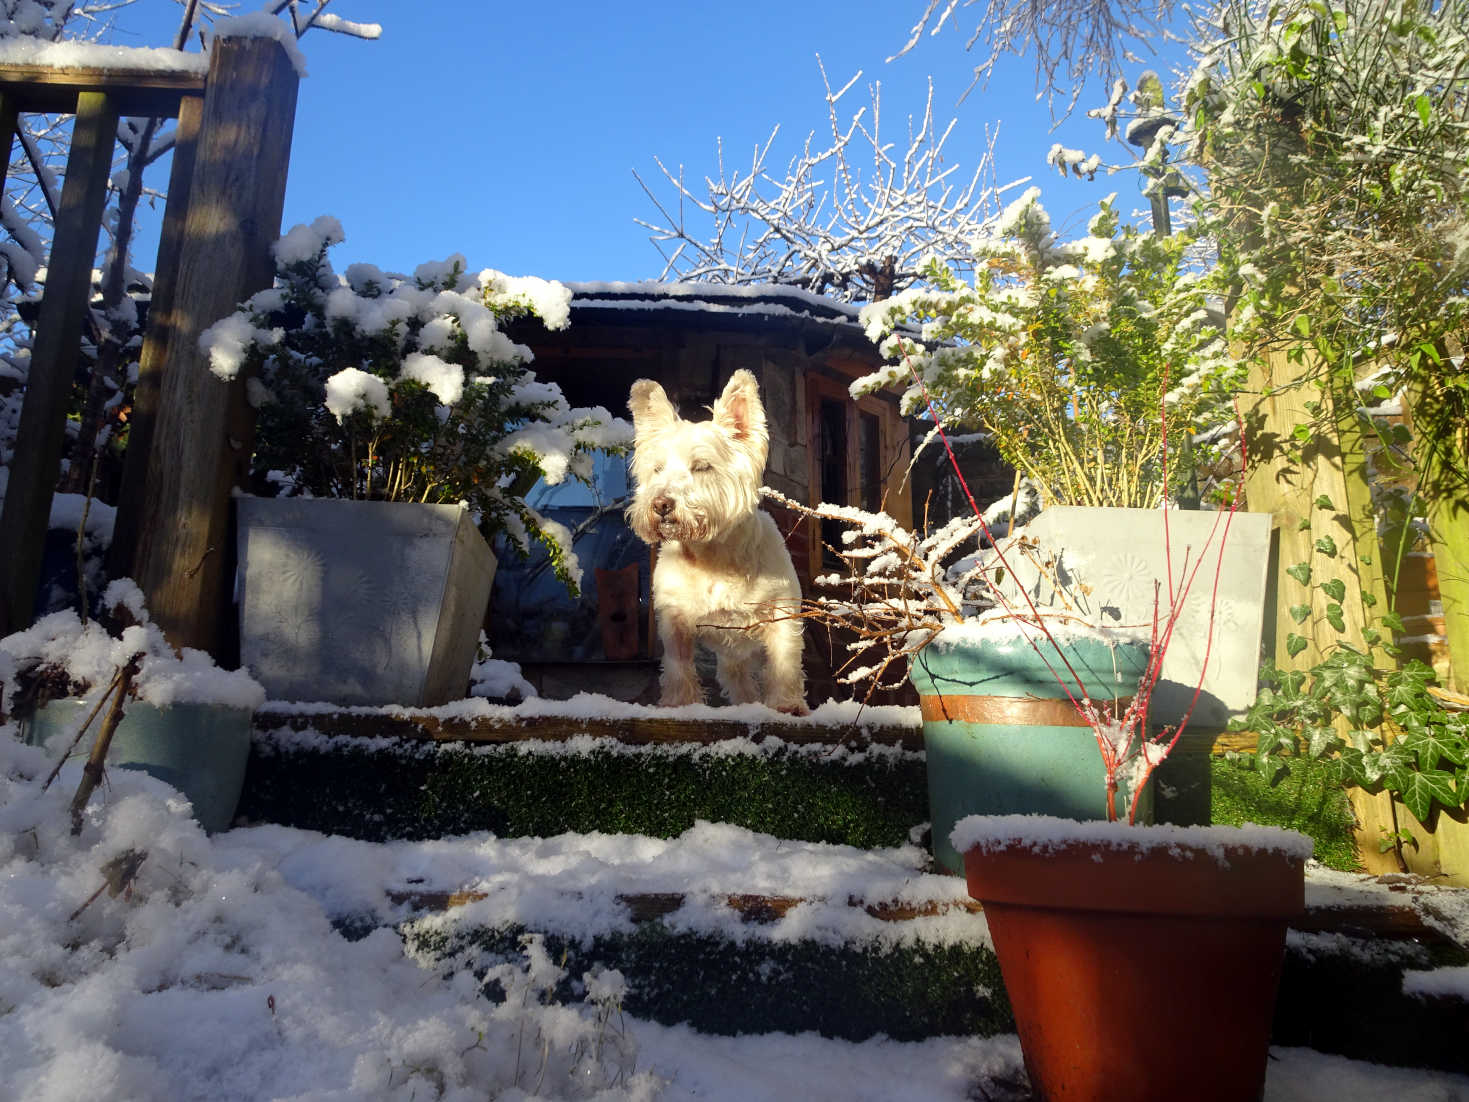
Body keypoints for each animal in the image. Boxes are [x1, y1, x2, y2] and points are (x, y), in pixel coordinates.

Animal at [625, 371, 810, 717]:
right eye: (657, 468)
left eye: (701, 466)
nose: (660, 505)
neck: (712, 556)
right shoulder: (675, 620)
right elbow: (678, 664)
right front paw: (680, 704)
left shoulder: (780, 612)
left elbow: (784, 661)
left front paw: (786, 704)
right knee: (736, 676)